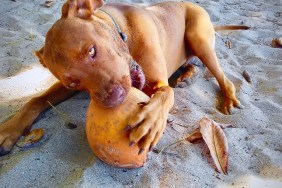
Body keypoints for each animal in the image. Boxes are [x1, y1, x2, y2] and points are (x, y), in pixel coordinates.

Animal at [0, 0, 248, 156]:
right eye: (73, 82)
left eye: (92, 50)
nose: (115, 99)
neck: (124, 31)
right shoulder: (63, 87)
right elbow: (35, 99)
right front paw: (9, 129)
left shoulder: (159, 84)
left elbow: (165, 94)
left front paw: (149, 122)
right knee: (192, 65)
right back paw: (186, 76)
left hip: (199, 37)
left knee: (223, 77)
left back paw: (227, 97)